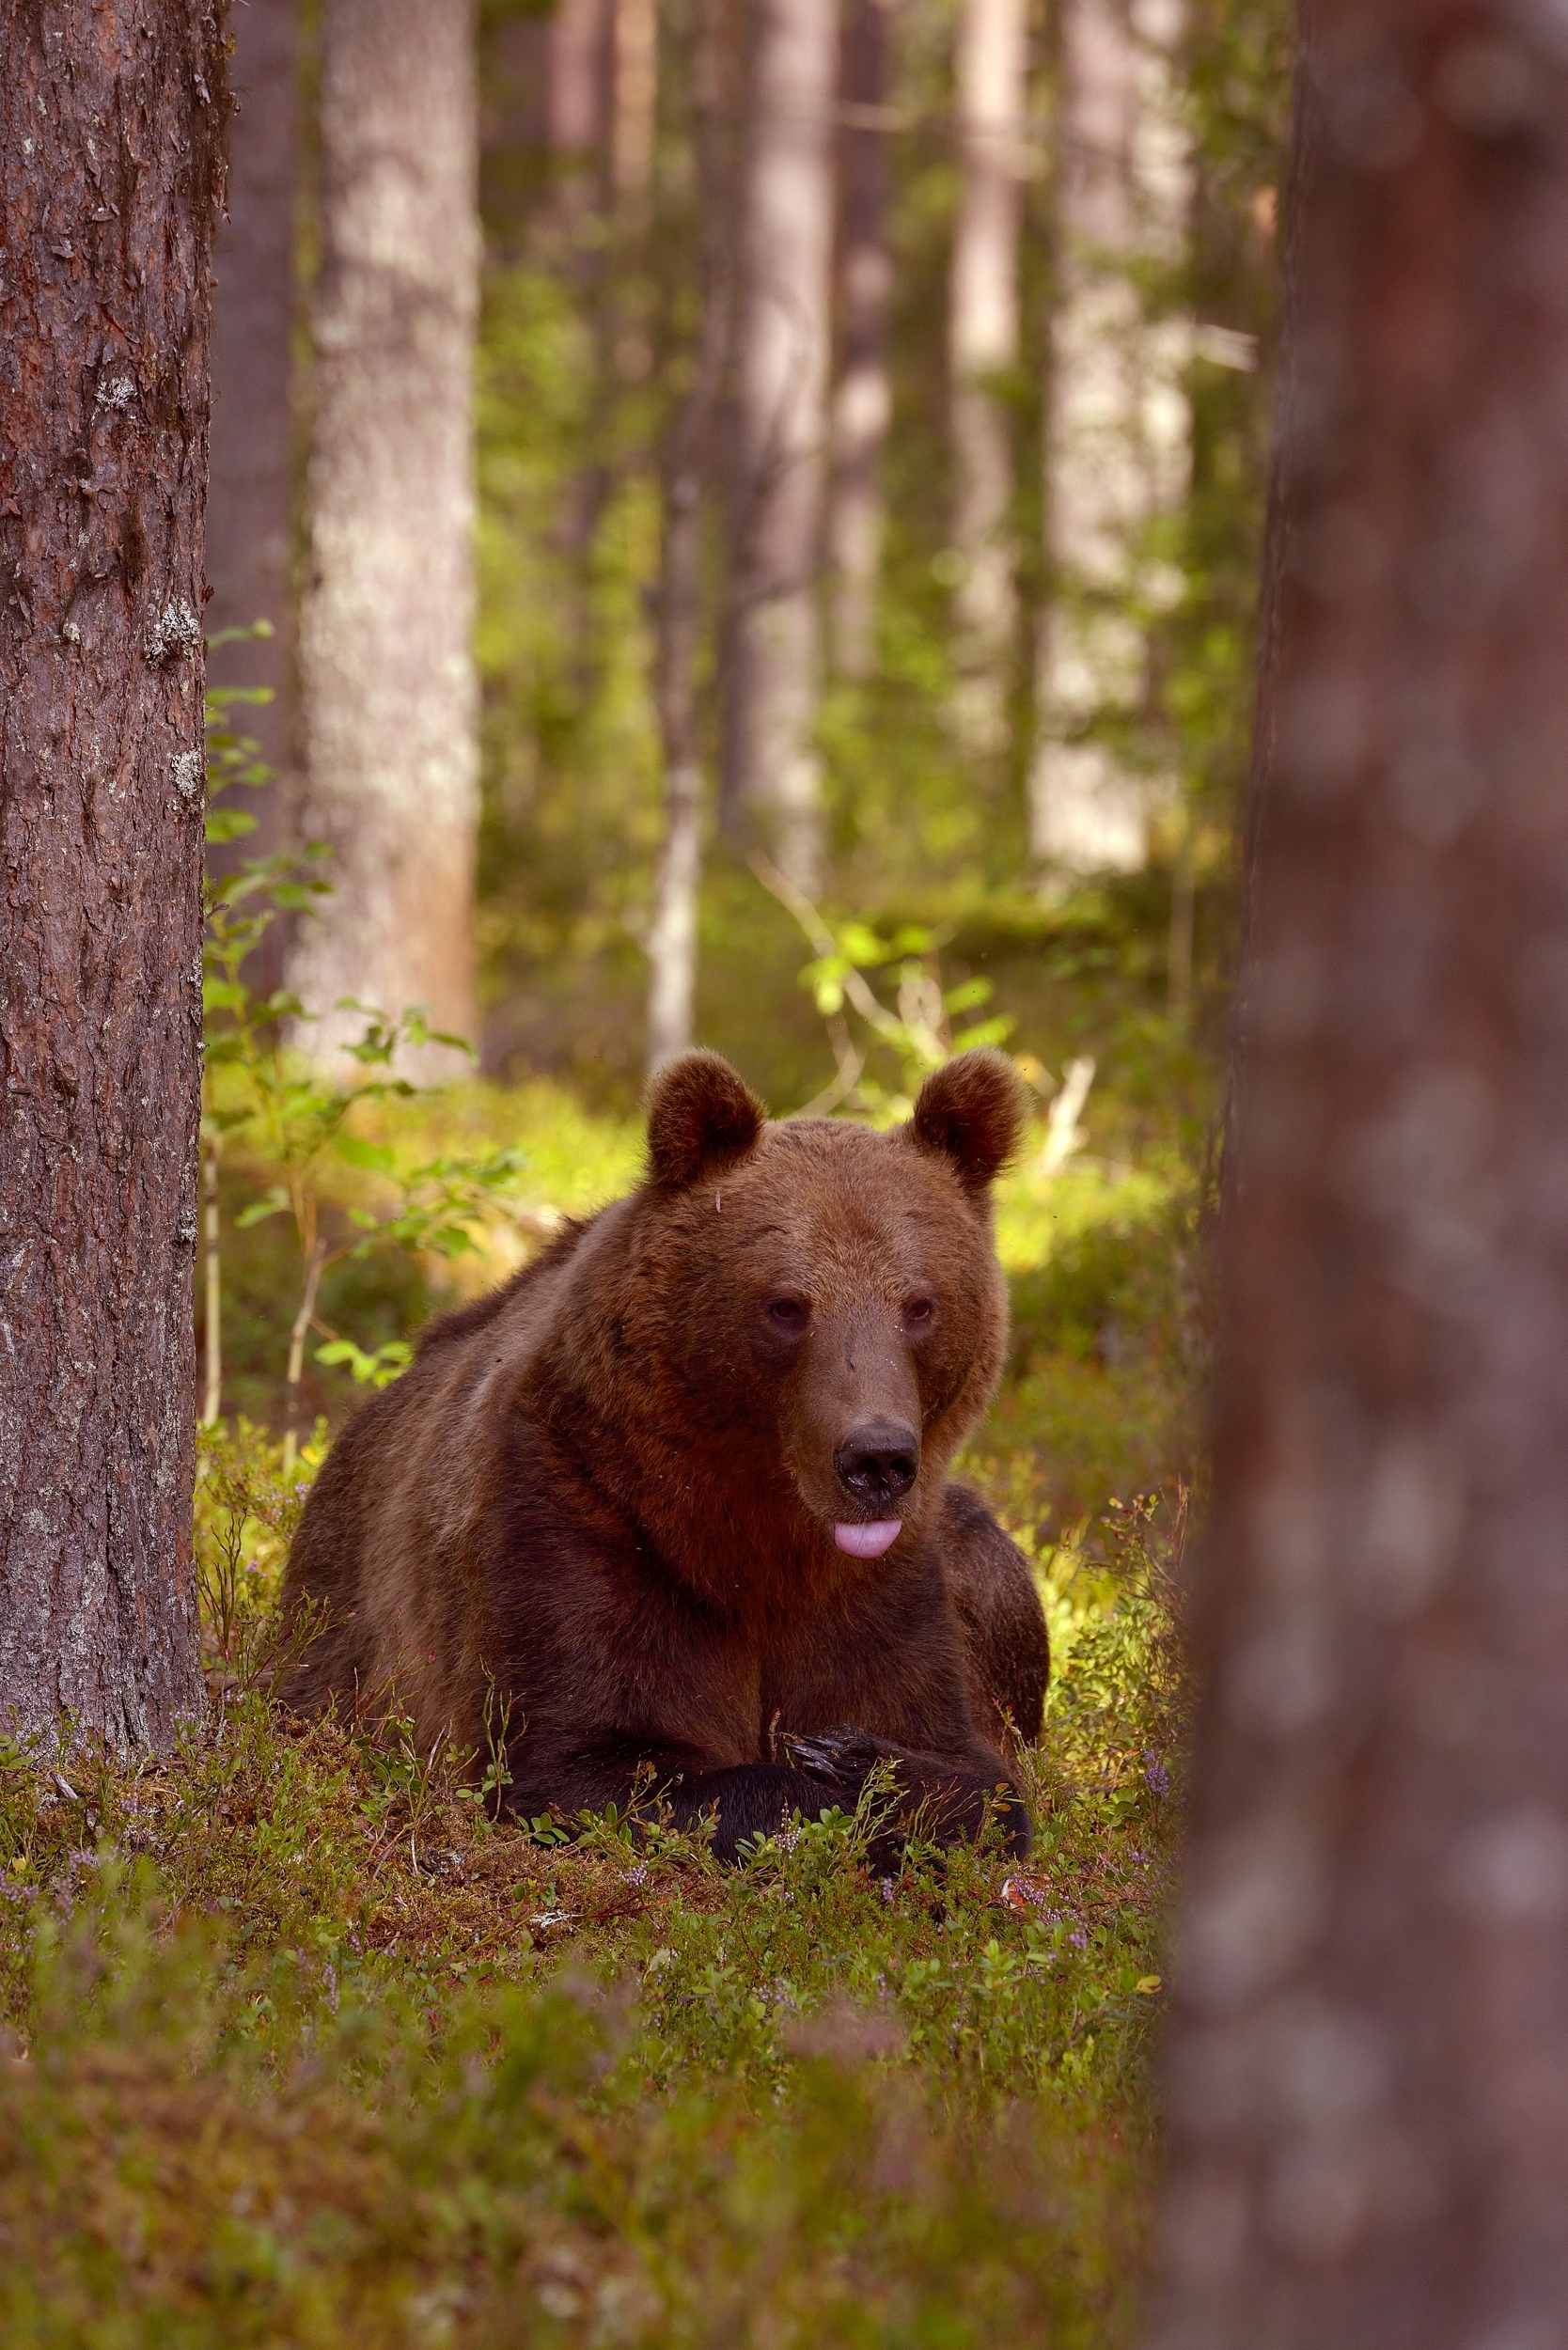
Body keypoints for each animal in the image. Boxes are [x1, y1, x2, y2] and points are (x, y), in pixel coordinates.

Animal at [279, 1047, 1049, 1863]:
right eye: (786, 1305)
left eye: (919, 1305)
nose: (876, 1460)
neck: (754, 1531)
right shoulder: (576, 1515)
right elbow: (582, 1756)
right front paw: (816, 1787)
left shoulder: (884, 1589)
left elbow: (975, 1778)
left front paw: (857, 1760)